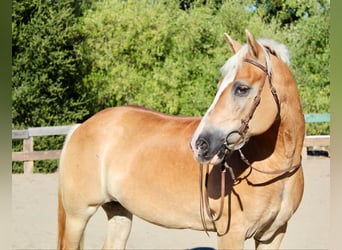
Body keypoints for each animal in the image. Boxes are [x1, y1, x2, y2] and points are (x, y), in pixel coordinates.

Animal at [58, 30, 304, 249]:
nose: (199, 144)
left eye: (241, 88)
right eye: (219, 87)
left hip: (119, 211)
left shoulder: (273, 235)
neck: (275, 171)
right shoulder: (232, 235)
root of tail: (82, 127)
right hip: (78, 216)